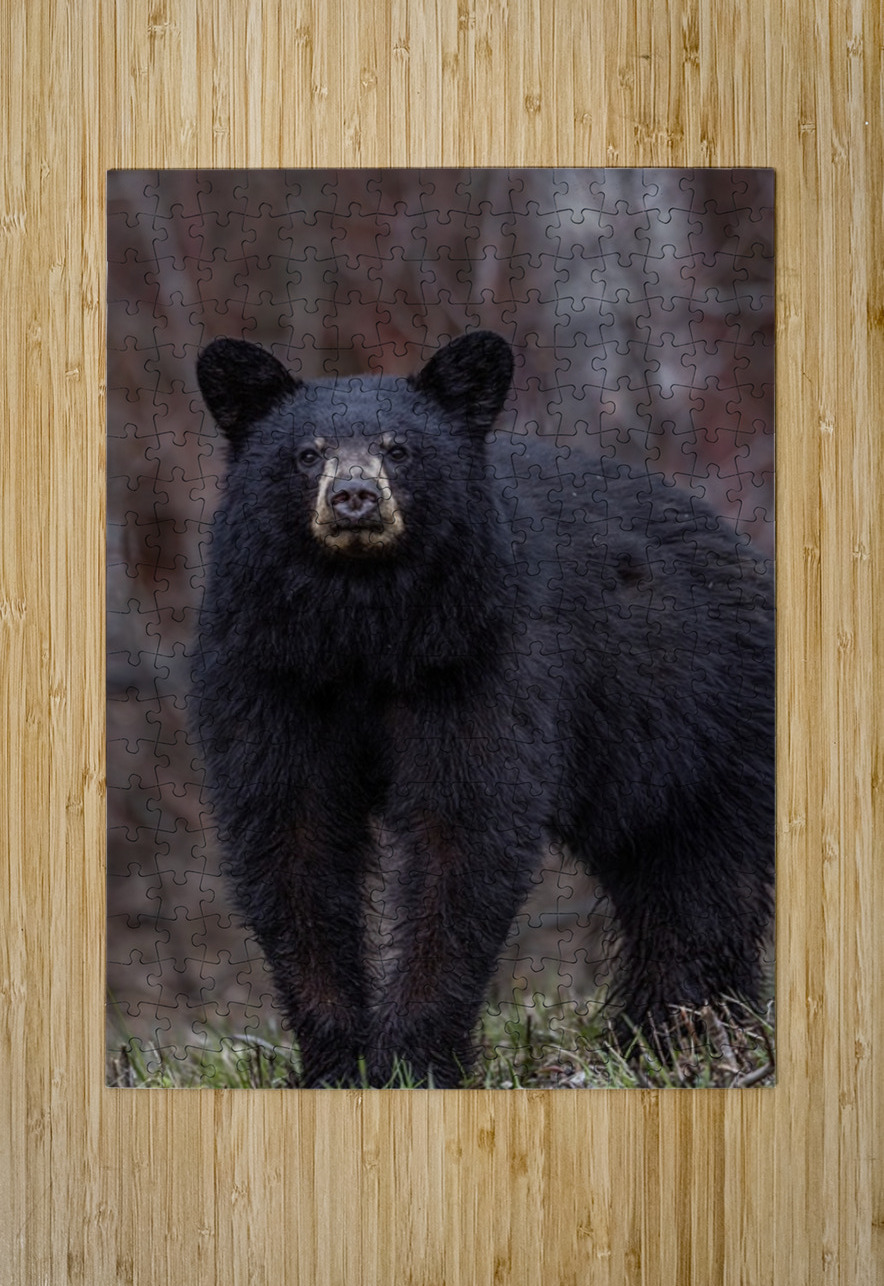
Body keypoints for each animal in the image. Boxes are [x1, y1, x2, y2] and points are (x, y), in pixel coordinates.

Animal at [193, 330, 774, 1088]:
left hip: (706, 723)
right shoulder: (270, 667)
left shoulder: (479, 655)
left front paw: (415, 1058)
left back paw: (683, 1035)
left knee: (704, 882)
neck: (362, 628)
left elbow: (463, 830)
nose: (354, 497)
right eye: (307, 453)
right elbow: (292, 832)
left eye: (399, 449)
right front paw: (337, 1060)